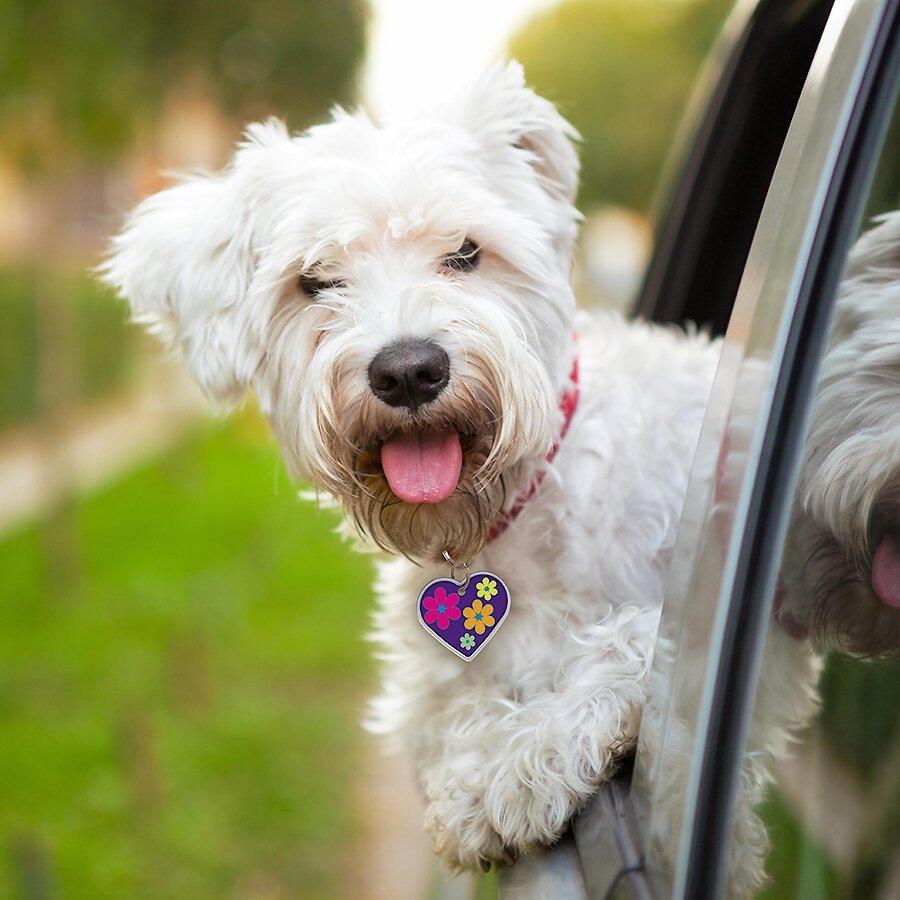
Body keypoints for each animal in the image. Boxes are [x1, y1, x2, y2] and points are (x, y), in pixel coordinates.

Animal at [98, 61, 892, 892]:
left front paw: (514, 771)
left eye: (466, 252)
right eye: (314, 281)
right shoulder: (427, 690)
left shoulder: (745, 617)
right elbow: (453, 712)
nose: (408, 371)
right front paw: (484, 769)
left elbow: (637, 639)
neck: (504, 519)